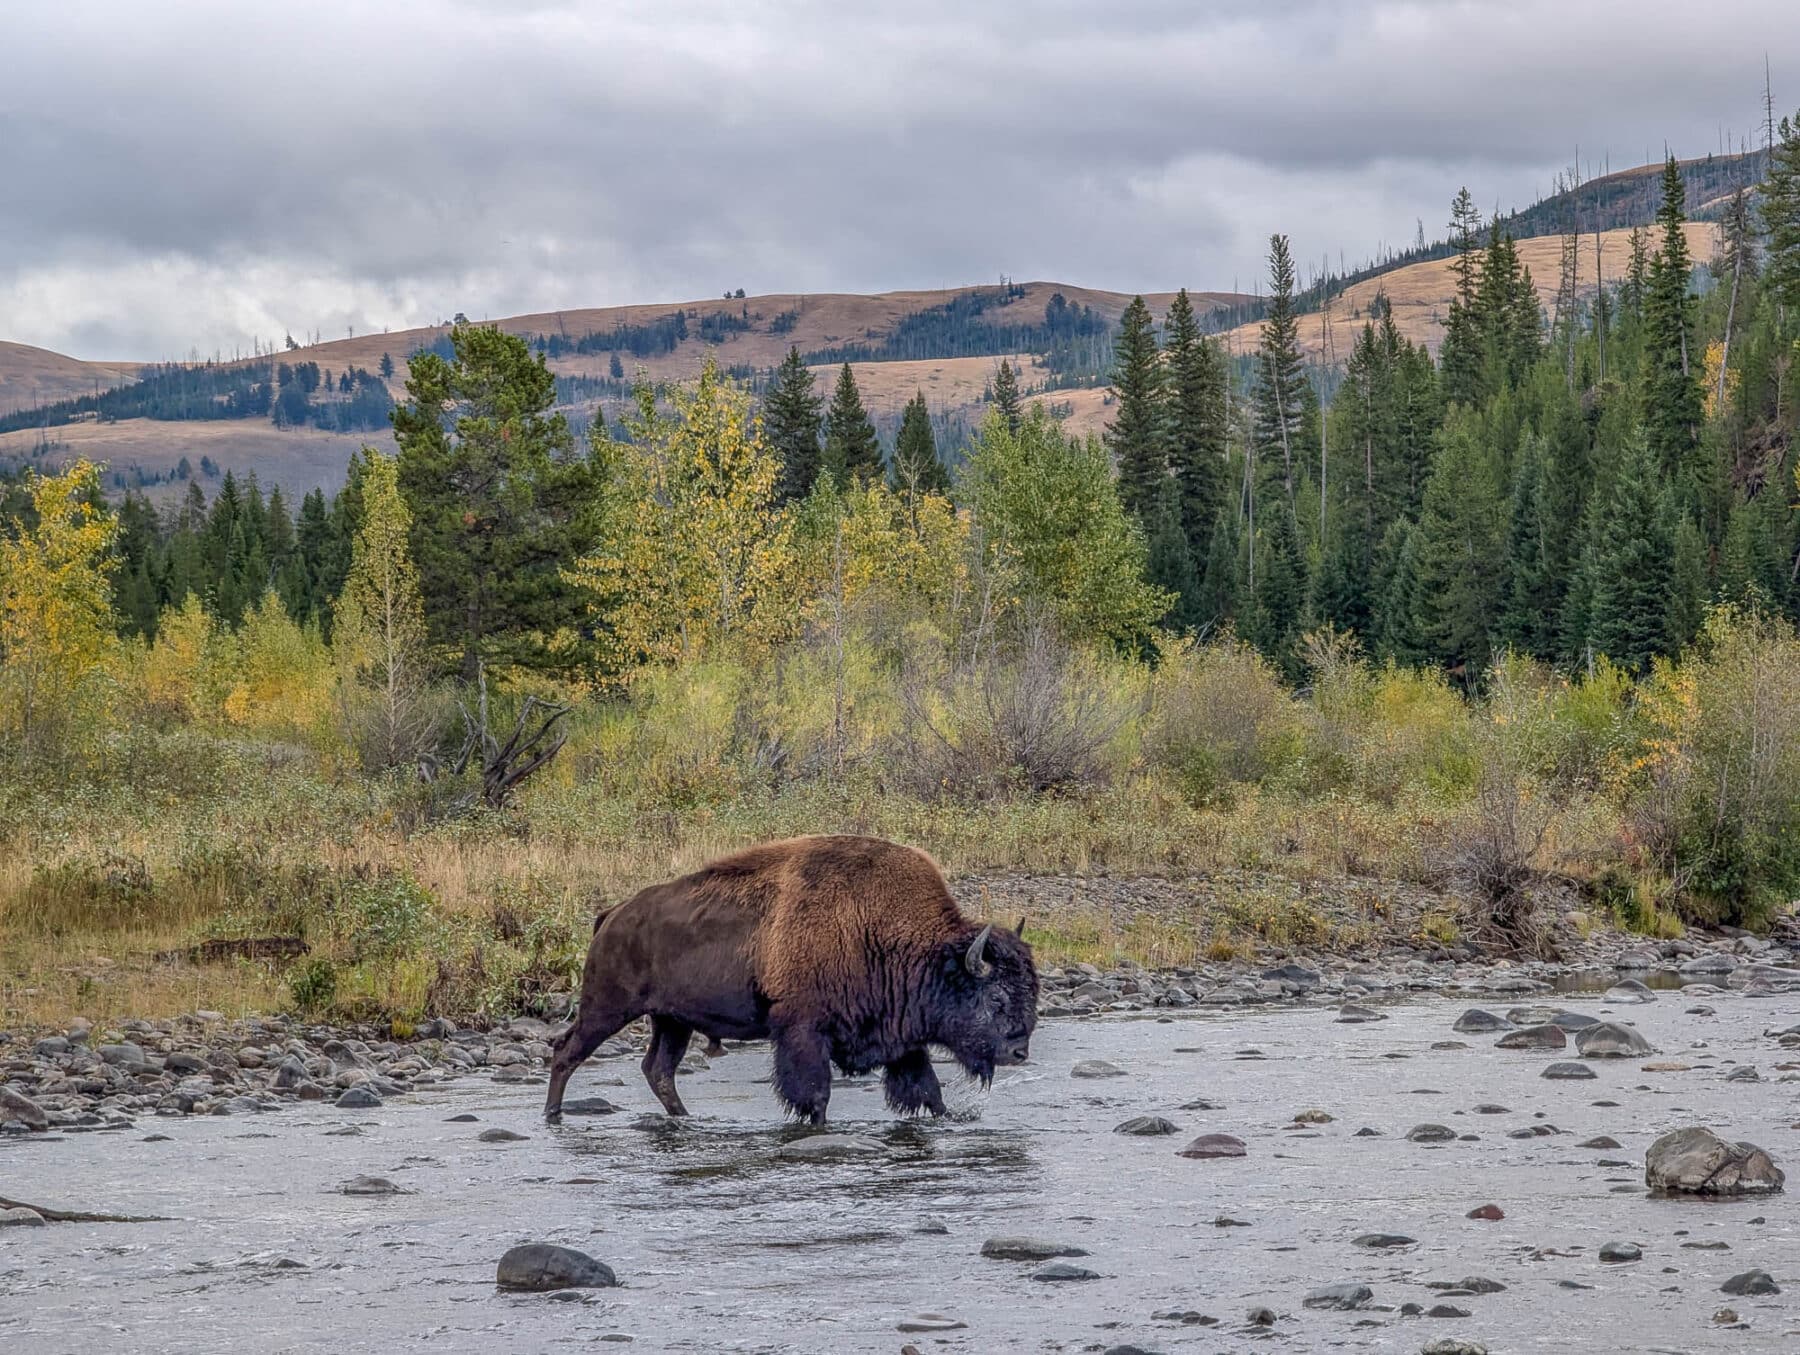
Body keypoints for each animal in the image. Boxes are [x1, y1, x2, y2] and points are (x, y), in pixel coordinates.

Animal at [545, 834, 1037, 1124]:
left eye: (1031, 992)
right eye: (995, 999)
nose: (1019, 1051)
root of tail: (613, 914)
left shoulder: (902, 1042)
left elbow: (928, 1093)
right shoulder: (803, 1031)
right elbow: (814, 1095)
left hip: (672, 1022)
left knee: (658, 1069)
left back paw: (684, 1118)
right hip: (607, 1008)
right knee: (567, 1051)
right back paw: (553, 1116)